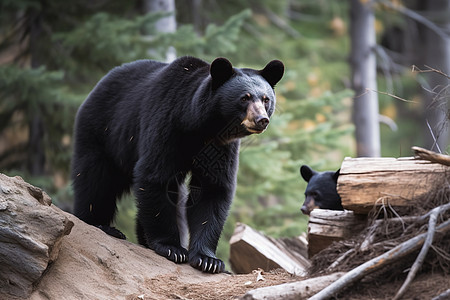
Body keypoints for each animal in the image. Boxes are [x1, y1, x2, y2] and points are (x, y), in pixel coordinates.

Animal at [71, 56, 284, 274]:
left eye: (266, 99)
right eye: (244, 98)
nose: (261, 120)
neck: (201, 127)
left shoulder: (222, 147)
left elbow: (213, 189)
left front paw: (208, 260)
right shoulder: (166, 125)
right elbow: (154, 176)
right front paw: (172, 248)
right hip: (103, 131)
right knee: (96, 180)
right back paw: (100, 224)